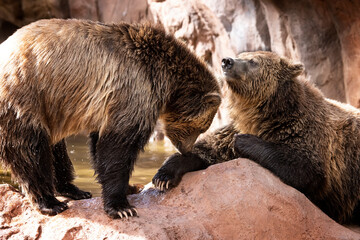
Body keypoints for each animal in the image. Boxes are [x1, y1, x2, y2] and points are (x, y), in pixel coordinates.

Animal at [0, 18, 221, 218]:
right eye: (201, 127)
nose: (186, 149)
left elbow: (101, 146)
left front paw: (129, 188)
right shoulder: (135, 89)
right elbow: (119, 146)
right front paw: (122, 207)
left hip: (50, 109)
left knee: (56, 150)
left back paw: (75, 190)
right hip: (25, 95)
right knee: (31, 150)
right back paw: (50, 203)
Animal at [153, 51, 360, 225]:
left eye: (253, 61)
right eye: (241, 54)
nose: (226, 61)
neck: (262, 114)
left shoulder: (304, 131)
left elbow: (305, 168)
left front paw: (244, 141)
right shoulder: (234, 127)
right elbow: (207, 149)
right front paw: (163, 176)